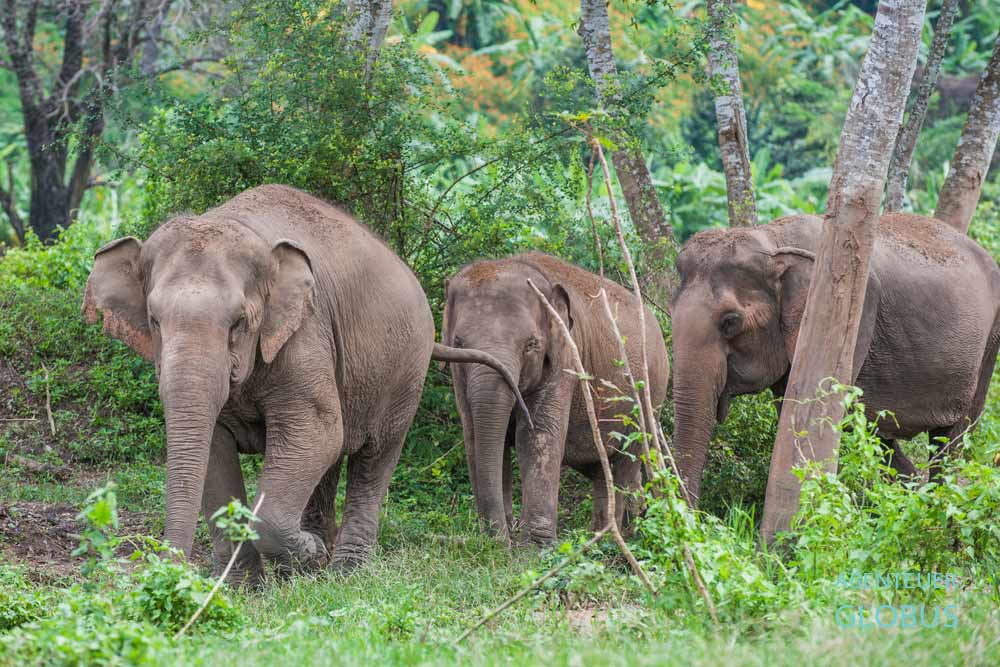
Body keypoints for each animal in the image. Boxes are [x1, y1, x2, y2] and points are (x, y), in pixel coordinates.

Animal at [82, 184, 525, 583]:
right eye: (154, 320)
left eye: (239, 322)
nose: (165, 571)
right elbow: (216, 448)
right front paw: (244, 586)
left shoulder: (306, 335)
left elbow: (316, 432)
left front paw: (308, 552)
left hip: (405, 371)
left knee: (373, 455)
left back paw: (344, 570)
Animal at [441, 252, 670, 544]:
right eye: (458, 343)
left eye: (531, 344)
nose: (501, 539)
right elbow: (475, 435)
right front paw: (501, 542)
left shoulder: (565, 353)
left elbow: (536, 437)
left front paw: (533, 548)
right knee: (601, 471)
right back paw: (600, 537)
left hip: (651, 393)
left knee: (627, 459)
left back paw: (614, 540)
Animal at [669, 212, 1000, 505]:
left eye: (730, 321)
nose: (697, 516)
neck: (773, 238)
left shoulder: (851, 317)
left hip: (989, 344)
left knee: (952, 439)